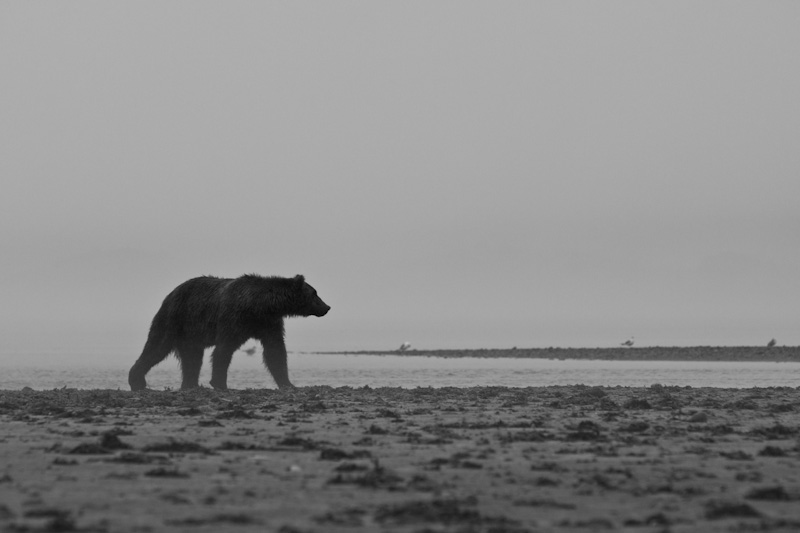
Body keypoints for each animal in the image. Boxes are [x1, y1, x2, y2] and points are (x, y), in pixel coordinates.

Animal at [130, 274, 330, 390]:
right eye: (315, 293)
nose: (327, 307)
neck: (261, 305)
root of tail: (170, 294)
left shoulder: (267, 323)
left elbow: (275, 351)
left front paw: (288, 383)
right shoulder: (234, 318)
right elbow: (224, 350)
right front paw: (220, 383)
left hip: (190, 333)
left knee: (192, 358)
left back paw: (191, 385)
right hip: (175, 318)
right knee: (157, 347)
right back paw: (137, 380)